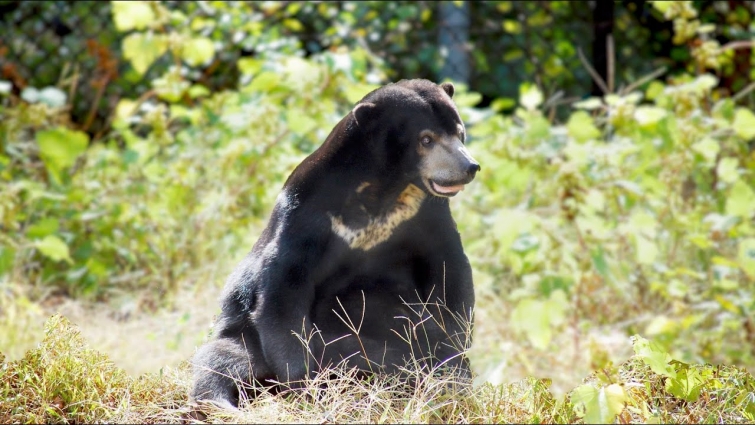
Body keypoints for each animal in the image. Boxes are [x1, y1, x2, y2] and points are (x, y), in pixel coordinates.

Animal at [189, 79, 481, 410]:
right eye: (426, 139)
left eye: (459, 132)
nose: (469, 167)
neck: (383, 187)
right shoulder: (307, 215)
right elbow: (283, 288)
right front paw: (302, 382)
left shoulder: (426, 211)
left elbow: (448, 268)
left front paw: (454, 356)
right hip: (242, 337)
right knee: (221, 361)